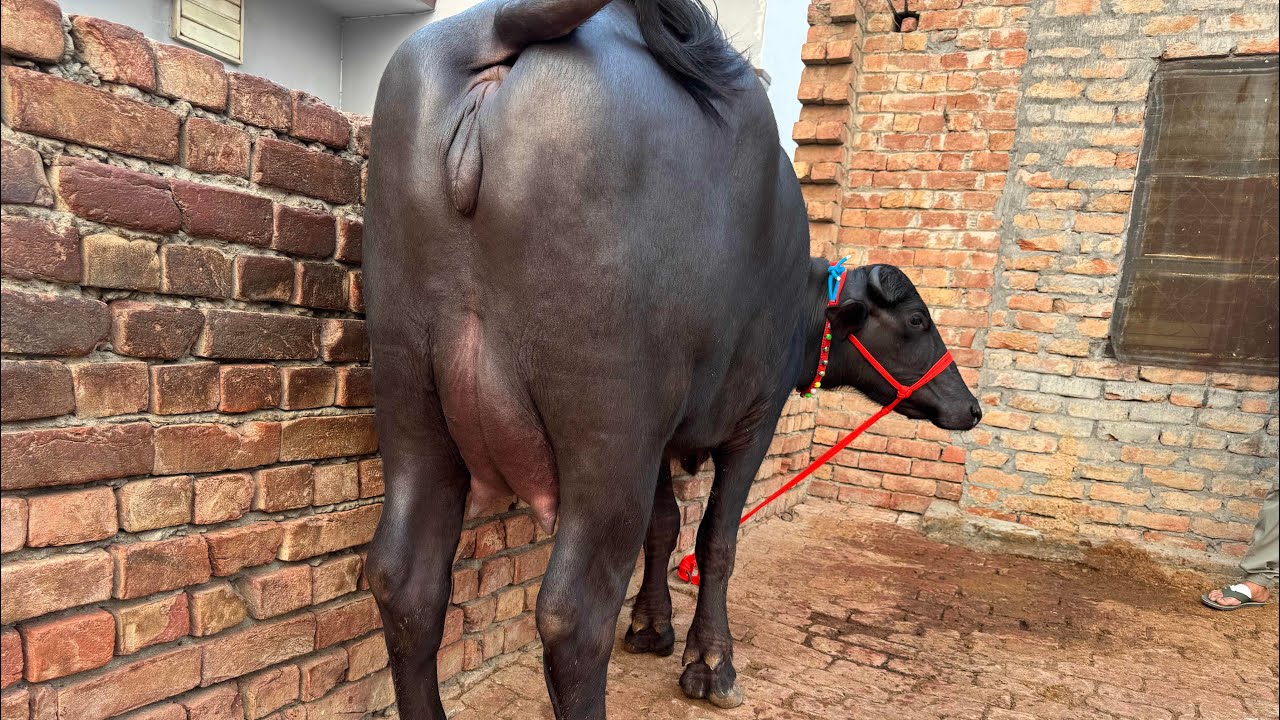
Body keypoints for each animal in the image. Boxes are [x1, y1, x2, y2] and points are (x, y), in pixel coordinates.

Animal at [362, 0, 983, 717]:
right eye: (916, 321)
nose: (970, 407)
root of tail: (503, 27)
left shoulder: (662, 441)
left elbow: (665, 525)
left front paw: (652, 626)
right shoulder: (753, 419)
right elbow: (716, 536)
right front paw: (709, 661)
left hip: (411, 401)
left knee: (405, 583)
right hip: (609, 437)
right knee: (573, 613)